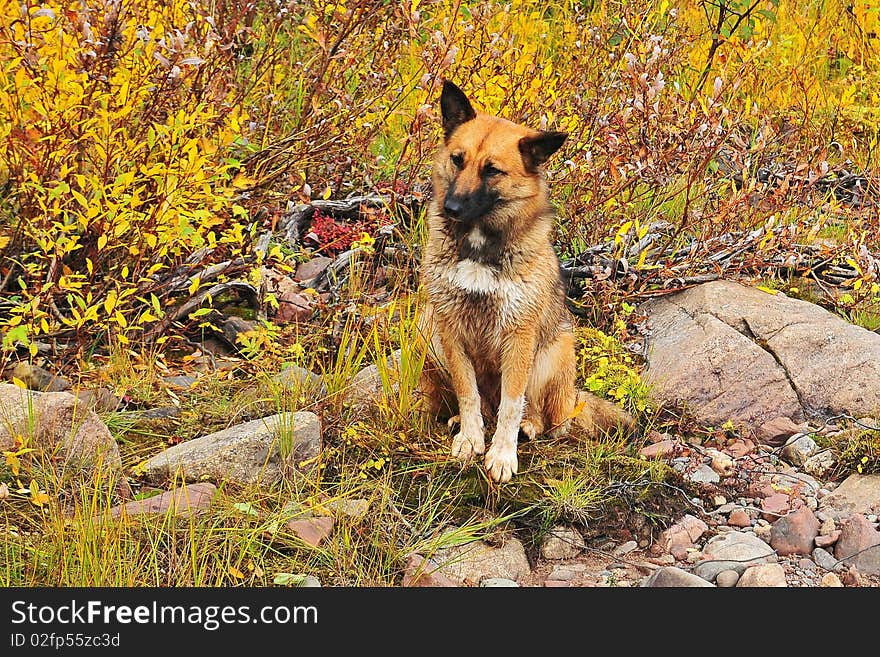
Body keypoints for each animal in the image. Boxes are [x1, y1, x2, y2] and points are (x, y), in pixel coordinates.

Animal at [418, 80, 632, 482]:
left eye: (492, 171)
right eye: (457, 159)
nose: (451, 209)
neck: (480, 246)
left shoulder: (518, 335)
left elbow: (511, 404)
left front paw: (502, 454)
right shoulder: (451, 329)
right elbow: (468, 393)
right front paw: (471, 439)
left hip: (553, 352)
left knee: (543, 417)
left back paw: (529, 427)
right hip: (430, 333)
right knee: (484, 404)